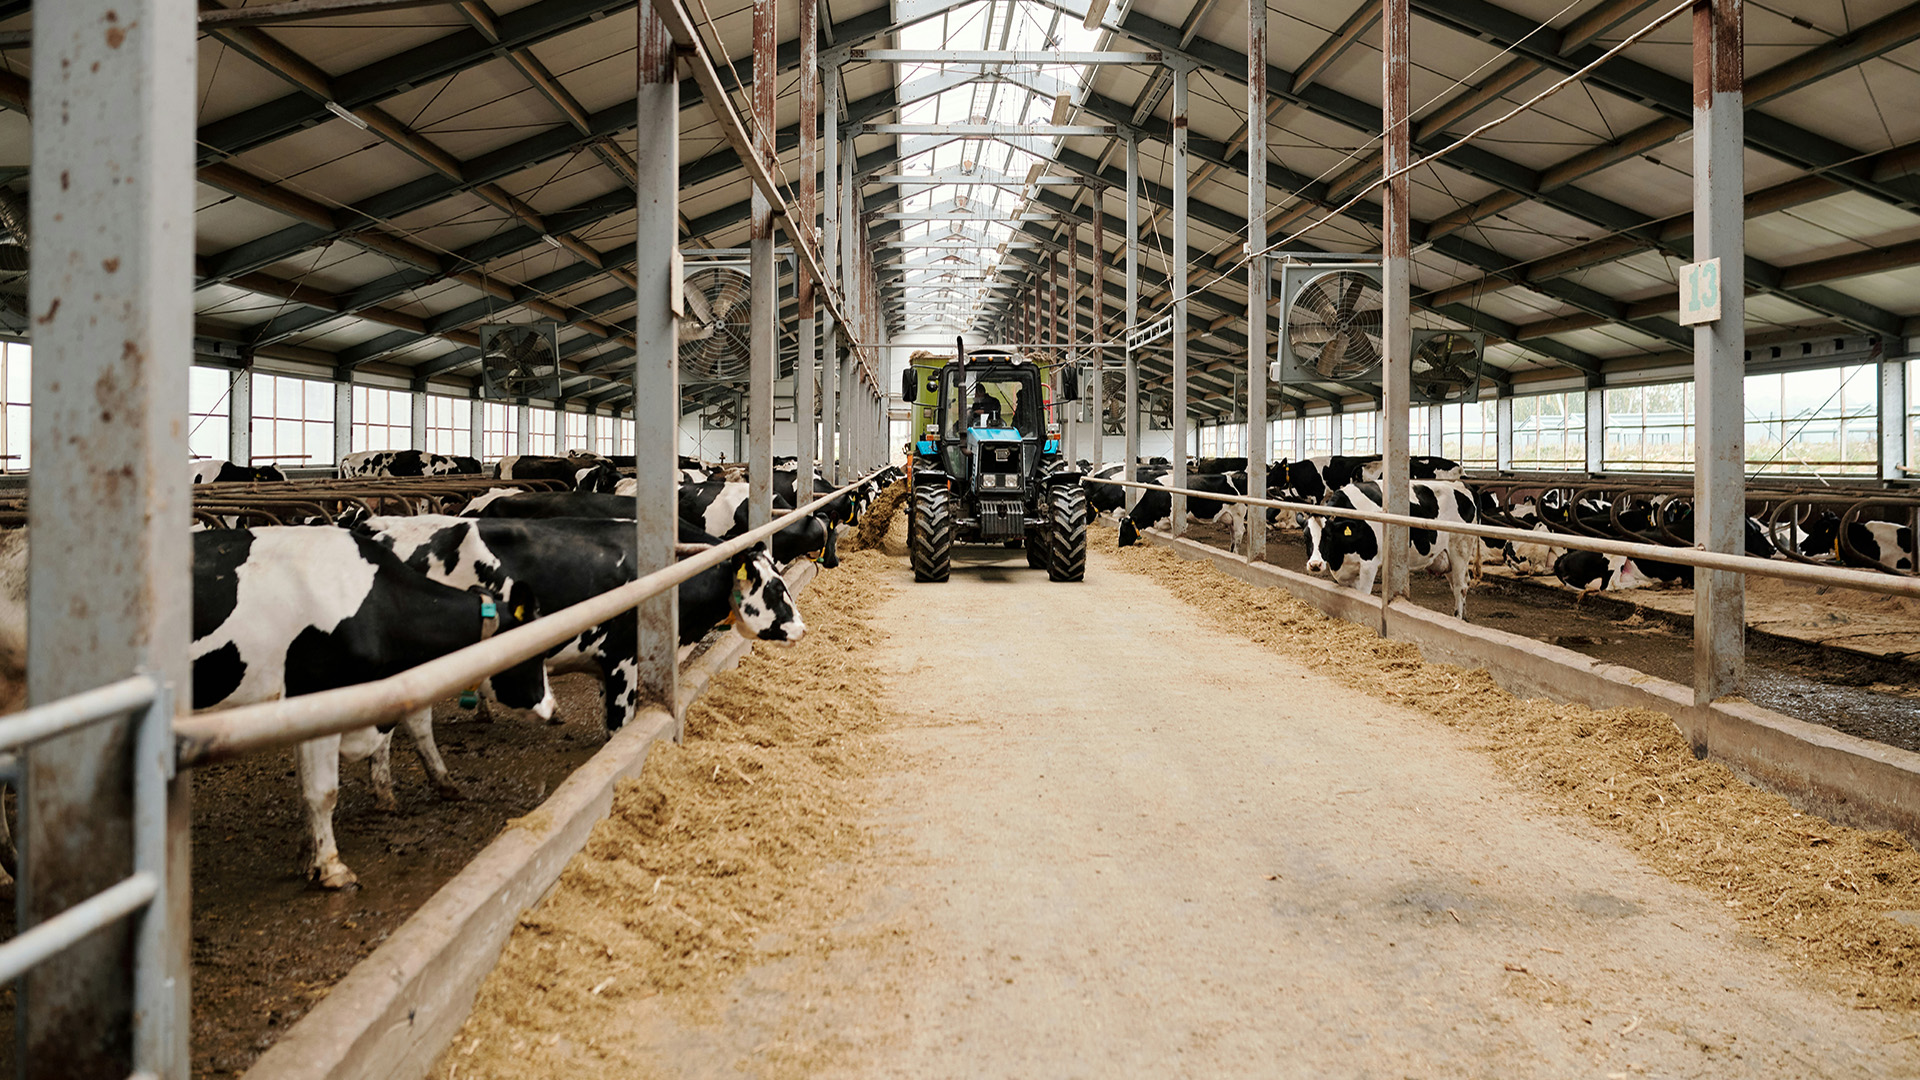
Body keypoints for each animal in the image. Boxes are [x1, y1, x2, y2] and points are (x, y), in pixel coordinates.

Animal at [189, 522, 556, 883]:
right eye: (535, 651)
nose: (553, 709)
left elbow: (305, 788)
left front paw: (309, 857)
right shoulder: (322, 696)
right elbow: (322, 791)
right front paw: (332, 869)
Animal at [1305, 476, 1482, 618]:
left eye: (1327, 536)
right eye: (1306, 536)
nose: (1315, 564)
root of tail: (1463, 485)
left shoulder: (1369, 564)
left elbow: (1363, 595)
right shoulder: (1344, 571)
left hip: (1460, 549)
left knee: (1460, 587)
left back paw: (1458, 618)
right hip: (1447, 557)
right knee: (1461, 584)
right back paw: (1463, 618)